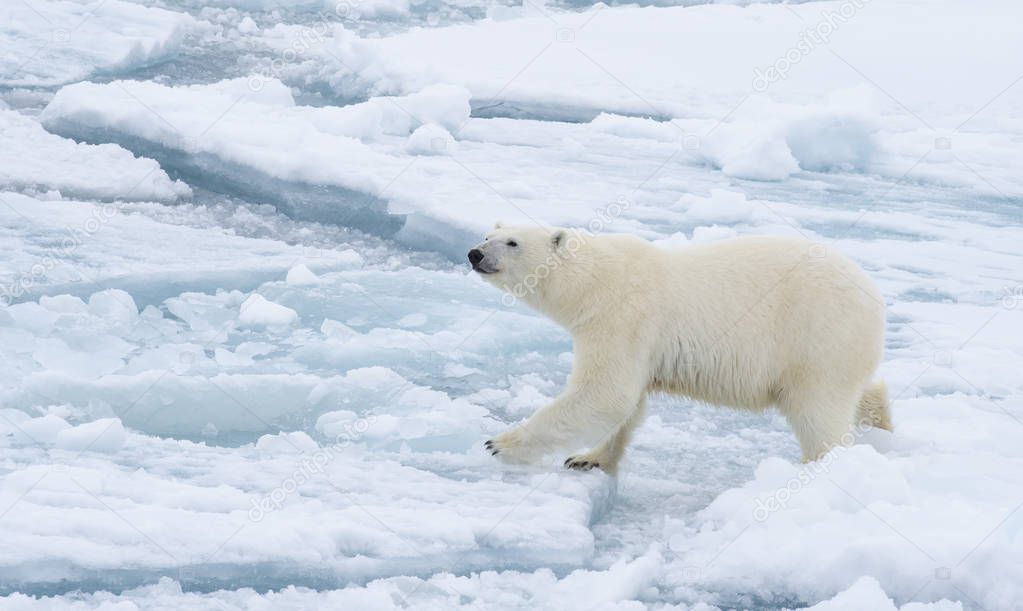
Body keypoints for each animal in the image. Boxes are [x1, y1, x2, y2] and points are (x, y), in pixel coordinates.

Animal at [468, 224, 892, 470]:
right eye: (488, 234)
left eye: (512, 242)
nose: (475, 253)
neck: (594, 279)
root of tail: (873, 296)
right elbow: (627, 404)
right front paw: (587, 458)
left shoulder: (622, 319)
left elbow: (605, 393)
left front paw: (498, 443)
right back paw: (880, 417)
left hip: (817, 337)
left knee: (818, 412)